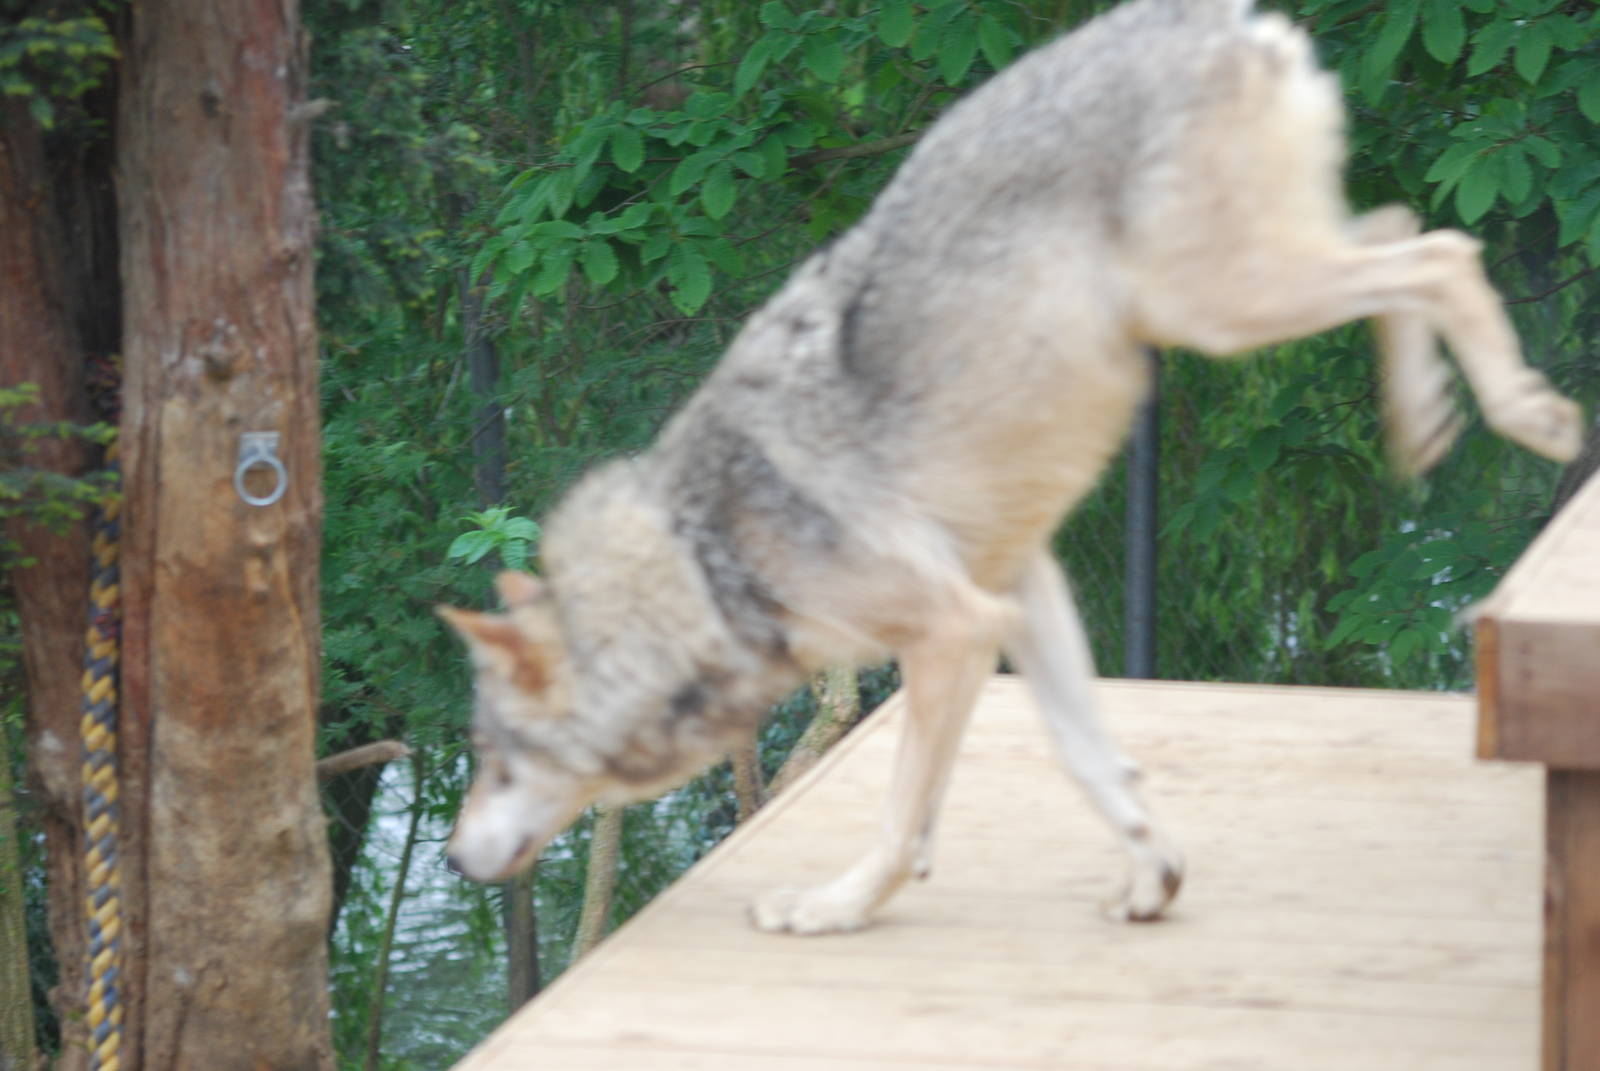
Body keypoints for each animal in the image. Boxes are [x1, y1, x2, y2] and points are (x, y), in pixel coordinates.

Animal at [438, 0, 1583, 934]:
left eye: (495, 763)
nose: (450, 858)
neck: (704, 555)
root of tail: (1219, 18)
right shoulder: (1018, 589)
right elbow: (1089, 755)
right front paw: (1152, 875)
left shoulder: (953, 629)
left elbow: (903, 815)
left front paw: (834, 908)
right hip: (1255, 283)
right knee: (1405, 228)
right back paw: (1424, 416)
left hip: (1223, 305)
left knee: (1442, 252)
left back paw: (1528, 411)